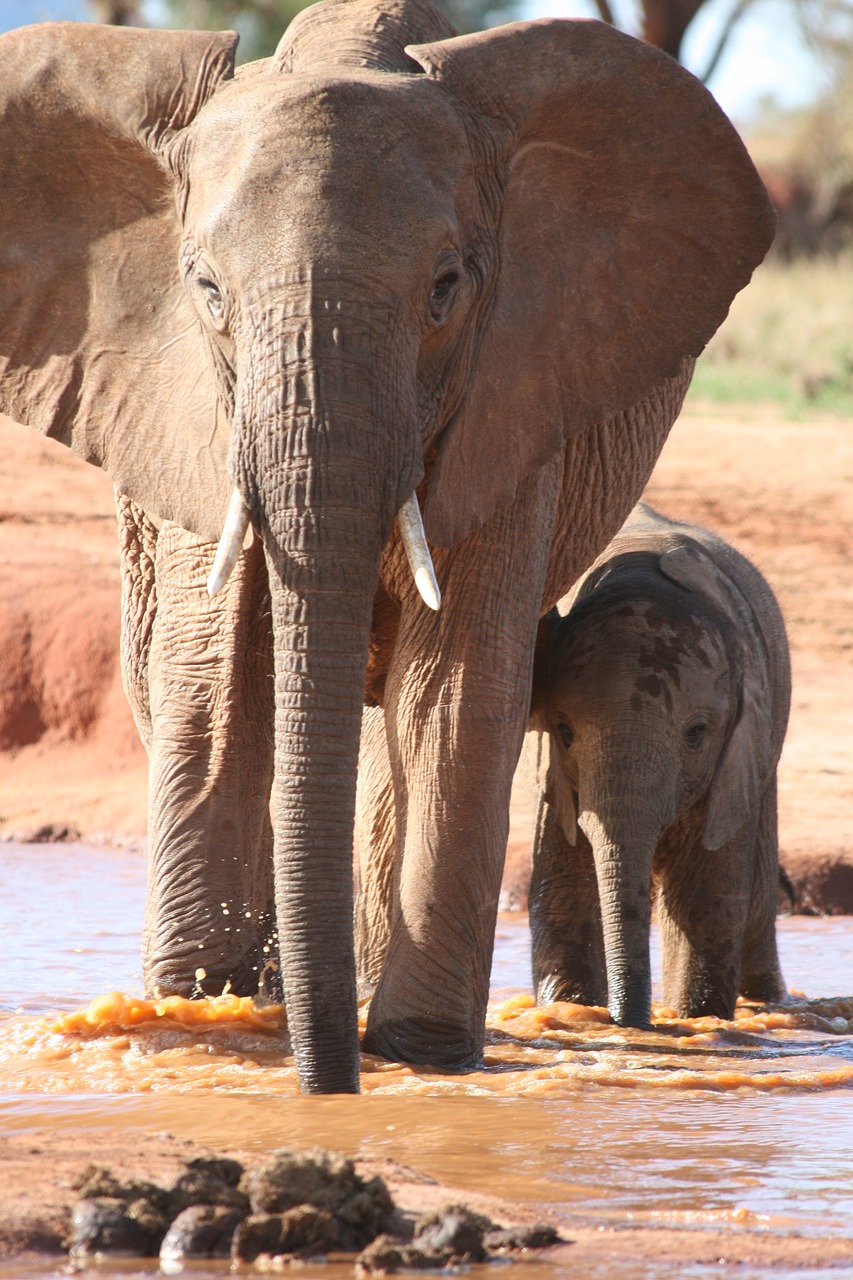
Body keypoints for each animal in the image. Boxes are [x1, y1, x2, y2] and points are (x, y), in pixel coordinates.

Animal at [527, 494, 788, 1024]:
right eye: (563, 732)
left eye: (696, 734)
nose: (627, 1022)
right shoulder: (557, 779)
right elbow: (566, 893)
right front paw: (575, 1015)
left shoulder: (737, 750)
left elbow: (703, 898)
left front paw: (696, 1021)